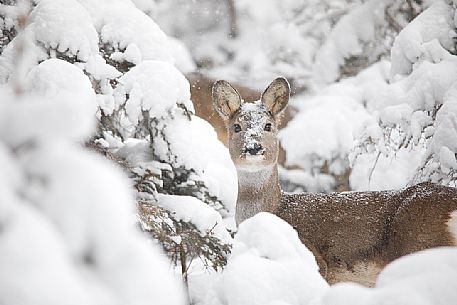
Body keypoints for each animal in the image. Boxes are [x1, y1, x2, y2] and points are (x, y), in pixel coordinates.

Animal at [212, 76, 456, 284]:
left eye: (268, 126)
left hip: (422, 245)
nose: (253, 147)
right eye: (236, 126)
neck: (273, 210)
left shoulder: (315, 260)